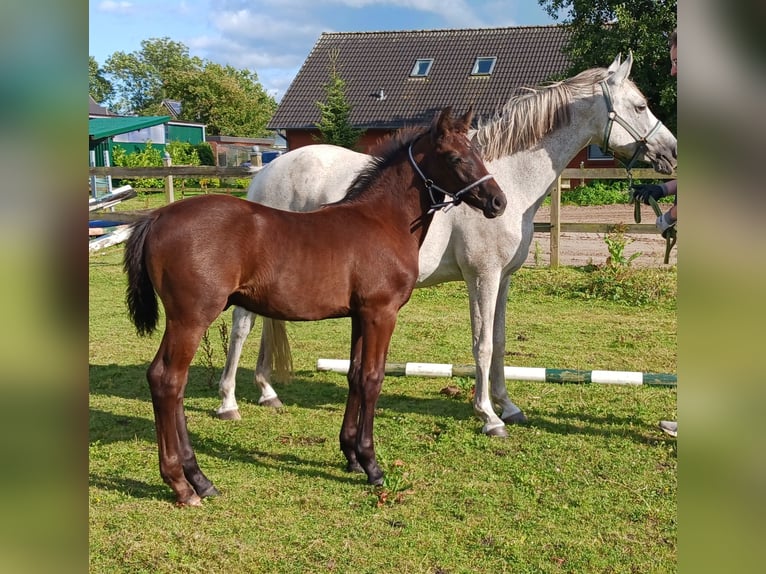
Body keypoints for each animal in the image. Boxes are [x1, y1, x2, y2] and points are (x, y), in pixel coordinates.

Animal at [216, 55, 680, 440]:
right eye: (640, 106)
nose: (672, 153)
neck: (507, 176)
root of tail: (267, 170)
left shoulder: (503, 279)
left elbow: (500, 341)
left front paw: (508, 406)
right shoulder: (482, 276)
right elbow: (482, 344)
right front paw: (489, 416)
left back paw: (267, 391)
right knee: (241, 327)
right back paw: (228, 402)